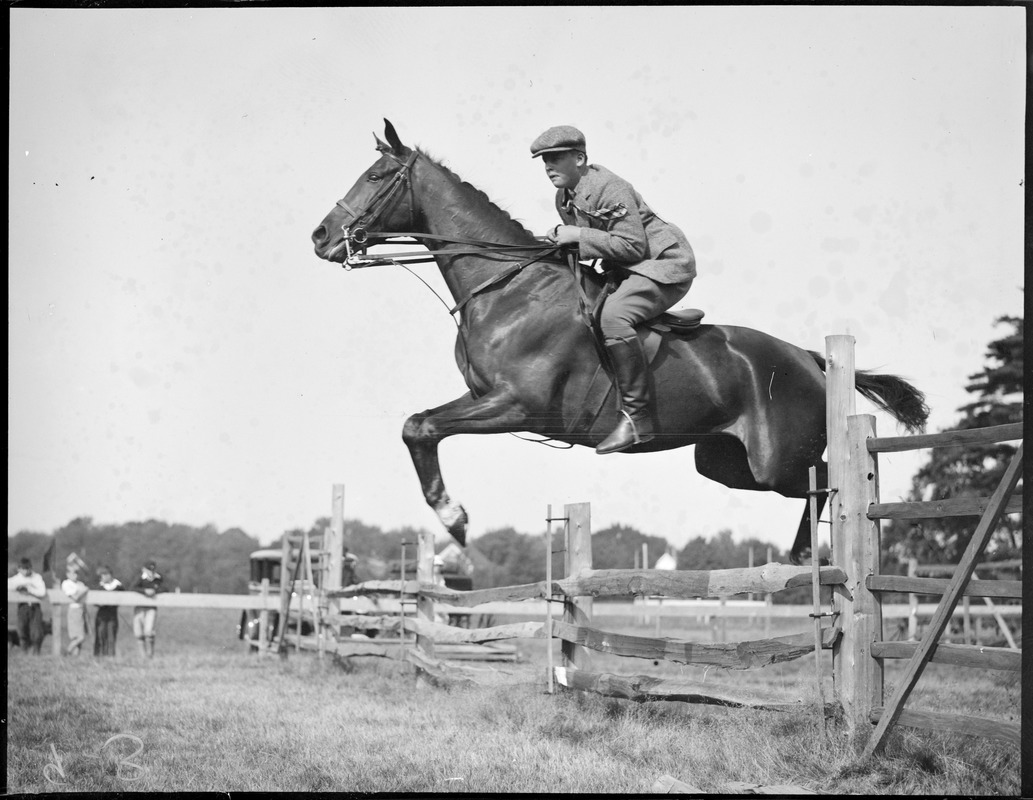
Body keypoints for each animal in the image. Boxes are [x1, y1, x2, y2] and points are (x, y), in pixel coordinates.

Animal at [307, 121, 929, 566]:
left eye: (374, 177)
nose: (319, 237)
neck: (508, 286)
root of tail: (811, 358)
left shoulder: (516, 405)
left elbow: (421, 426)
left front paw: (453, 517)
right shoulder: (486, 398)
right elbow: (417, 425)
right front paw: (452, 517)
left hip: (776, 458)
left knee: (826, 480)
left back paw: (814, 552)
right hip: (725, 463)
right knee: (813, 484)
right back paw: (803, 554)